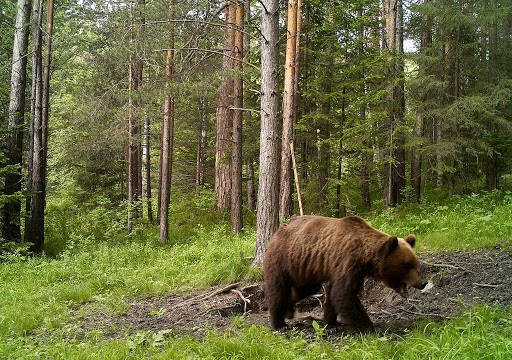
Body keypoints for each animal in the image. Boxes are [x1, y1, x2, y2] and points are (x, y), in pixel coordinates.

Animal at [262, 215, 426, 330]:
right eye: (407, 265)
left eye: (416, 263)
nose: (423, 282)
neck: (365, 257)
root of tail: (278, 230)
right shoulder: (347, 260)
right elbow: (344, 293)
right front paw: (368, 327)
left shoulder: (354, 271)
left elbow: (334, 293)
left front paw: (330, 321)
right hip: (282, 258)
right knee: (278, 289)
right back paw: (278, 323)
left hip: (305, 267)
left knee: (304, 289)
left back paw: (289, 310)